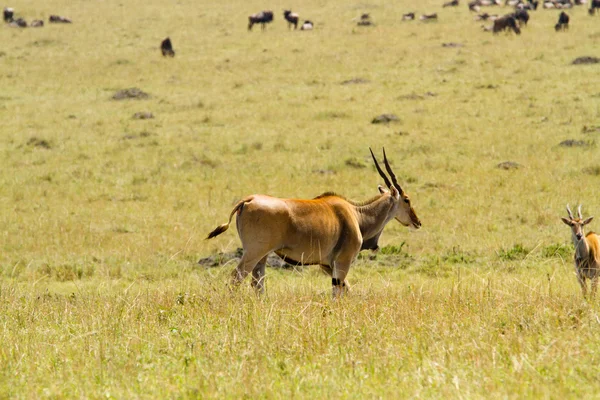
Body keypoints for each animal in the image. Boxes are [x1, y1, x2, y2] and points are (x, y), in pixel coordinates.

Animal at [206, 148, 422, 296]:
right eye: (407, 199)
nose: (417, 222)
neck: (356, 214)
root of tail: (248, 200)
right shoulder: (342, 262)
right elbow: (339, 292)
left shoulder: (327, 265)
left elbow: (346, 289)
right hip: (254, 252)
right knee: (237, 278)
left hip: (262, 256)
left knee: (257, 283)